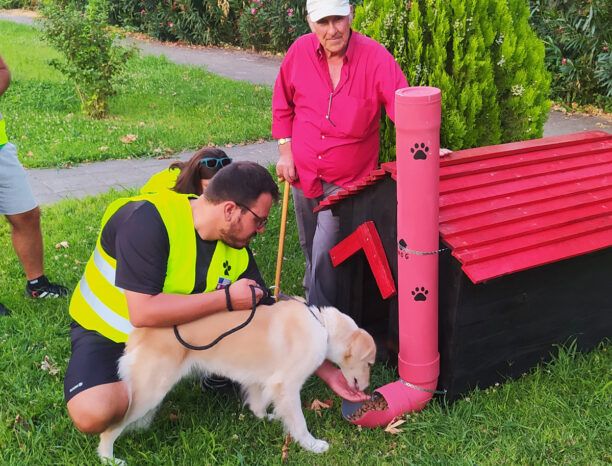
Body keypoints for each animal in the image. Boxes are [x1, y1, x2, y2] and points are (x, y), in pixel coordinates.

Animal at [98, 298, 376, 462]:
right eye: (370, 363)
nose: (367, 389)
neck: (322, 327)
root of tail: (139, 333)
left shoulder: (264, 380)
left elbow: (258, 403)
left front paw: (267, 418)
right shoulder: (287, 385)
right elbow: (299, 423)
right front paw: (312, 445)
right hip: (149, 392)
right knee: (108, 430)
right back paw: (109, 458)